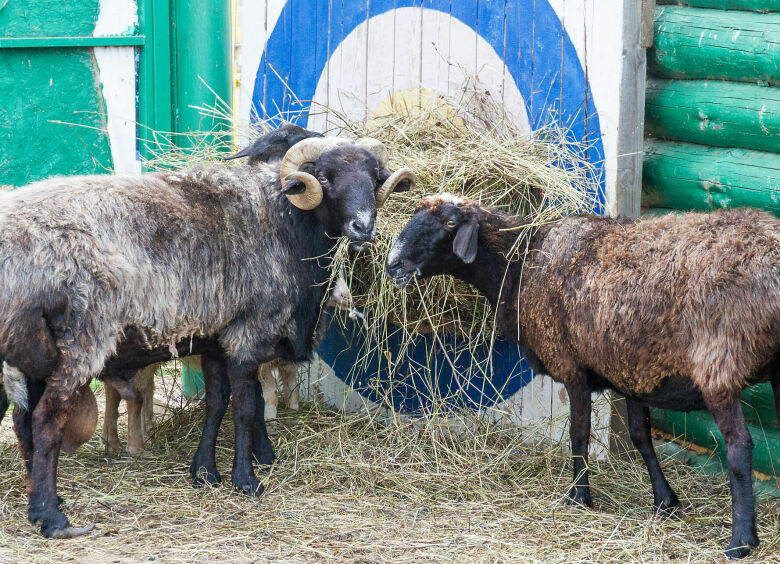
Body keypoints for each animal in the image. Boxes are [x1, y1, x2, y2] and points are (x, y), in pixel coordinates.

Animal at [0, 134, 414, 540]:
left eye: (374, 176)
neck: (284, 221)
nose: (363, 227)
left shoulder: (217, 340)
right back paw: (52, 518)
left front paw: (204, 473)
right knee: (46, 421)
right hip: (81, 338)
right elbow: (246, 408)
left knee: (23, 421)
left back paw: (41, 501)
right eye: (325, 177)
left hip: (32, 352)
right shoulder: (248, 334)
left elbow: (216, 404)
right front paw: (246, 480)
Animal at [388, 195, 780, 560]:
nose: (393, 264)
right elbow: (641, 438)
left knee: (739, 448)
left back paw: (741, 541)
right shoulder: (633, 371)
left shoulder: (572, 367)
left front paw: (579, 496)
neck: (520, 266)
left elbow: (578, 435)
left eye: (450, 223)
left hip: (720, 365)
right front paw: (664, 501)